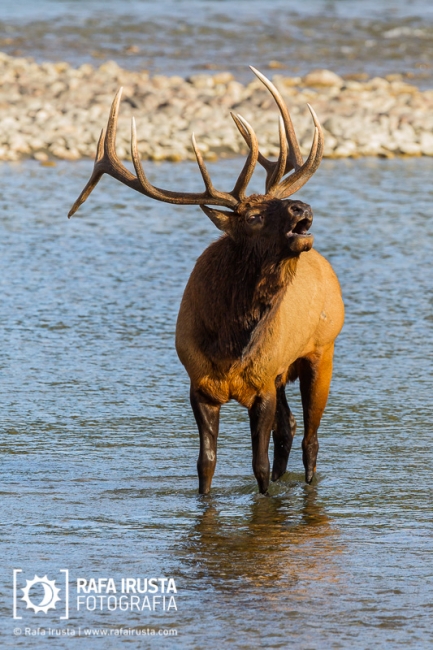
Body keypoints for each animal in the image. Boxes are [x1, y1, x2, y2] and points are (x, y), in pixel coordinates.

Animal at [68, 67, 344, 495]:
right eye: (253, 217)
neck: (230, 342)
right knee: (289, 429)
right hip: (284, 371)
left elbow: (259, 466)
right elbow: (206, 464)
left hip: (321, 350)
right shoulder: (199, 386)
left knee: (311, 439)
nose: (302, 207)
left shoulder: (262, 385)